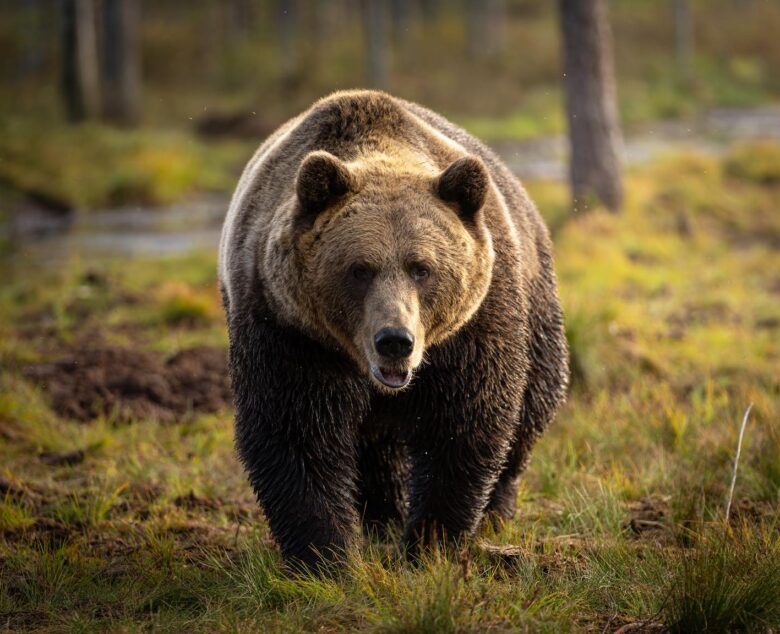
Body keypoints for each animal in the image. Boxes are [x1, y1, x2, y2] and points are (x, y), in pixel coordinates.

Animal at [218, 89, 568, 568]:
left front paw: (429, 542)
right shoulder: (288, 328)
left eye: (421, 268)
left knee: (533, 406)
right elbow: (295, 431)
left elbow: (461, 422)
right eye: (359, 269)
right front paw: (325, 556)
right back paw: (382, 517)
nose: (395, 341)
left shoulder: (472, 329)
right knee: (376, 450)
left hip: (536, 306)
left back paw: (493, 511)